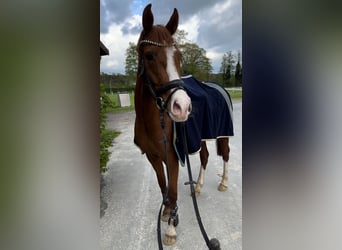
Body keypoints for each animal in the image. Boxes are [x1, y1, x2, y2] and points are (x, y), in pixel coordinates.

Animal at [134, 3, 230, 246]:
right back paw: (198, 186)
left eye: (179, 56)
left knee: (225, 155)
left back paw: (223, 183)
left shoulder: (173, 156)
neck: (153, 120)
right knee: (205, 156)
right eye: (149, 55)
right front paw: (167, 213)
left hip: (224, 134)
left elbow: (174, 190)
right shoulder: (153, 157)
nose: (182, 106)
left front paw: (170, 229)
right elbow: (164, 187)